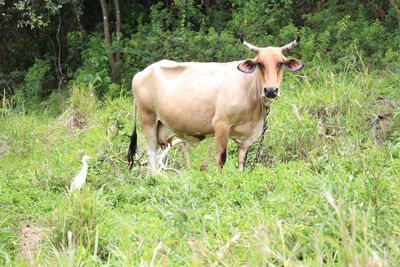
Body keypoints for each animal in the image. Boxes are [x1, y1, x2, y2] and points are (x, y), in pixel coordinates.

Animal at [128, 36, 304, 174]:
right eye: (259, 63)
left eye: (280, 63)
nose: (271, 90)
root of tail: (140, 73)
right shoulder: (221, 124)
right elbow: (221, 158)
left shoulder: (246, 137)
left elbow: (242, 162)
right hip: (148, 118)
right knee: (151, 152)